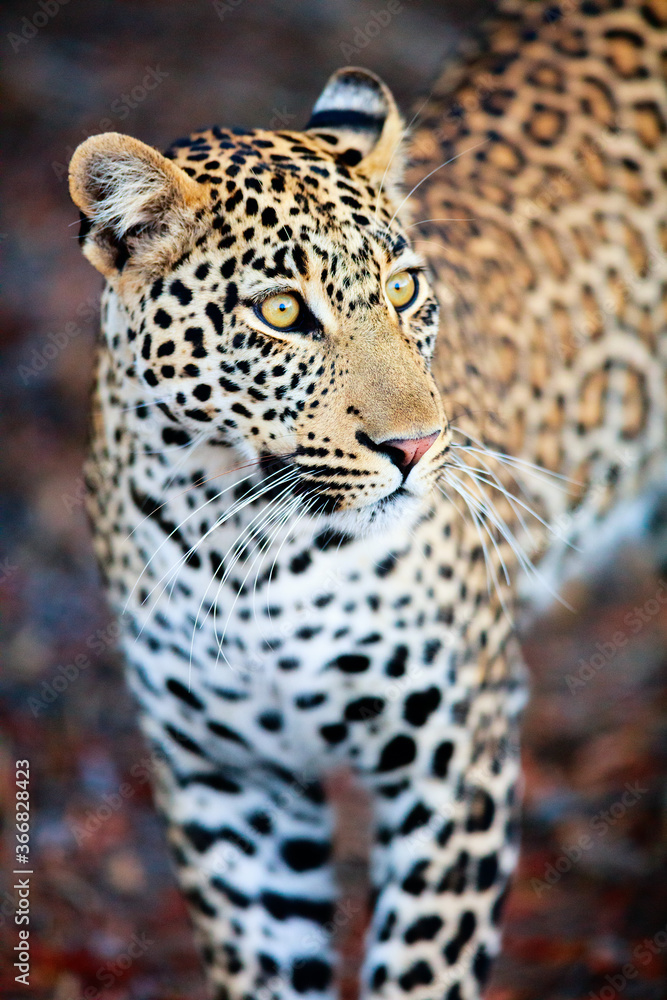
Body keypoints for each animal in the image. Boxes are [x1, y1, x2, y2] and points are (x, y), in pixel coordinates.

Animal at [68, 1, 667, 997]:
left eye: (401, 287)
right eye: (280, 312)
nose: (417, 447)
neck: (250, 546)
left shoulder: (455, 758)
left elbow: (420, 968)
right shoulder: (227, 784)